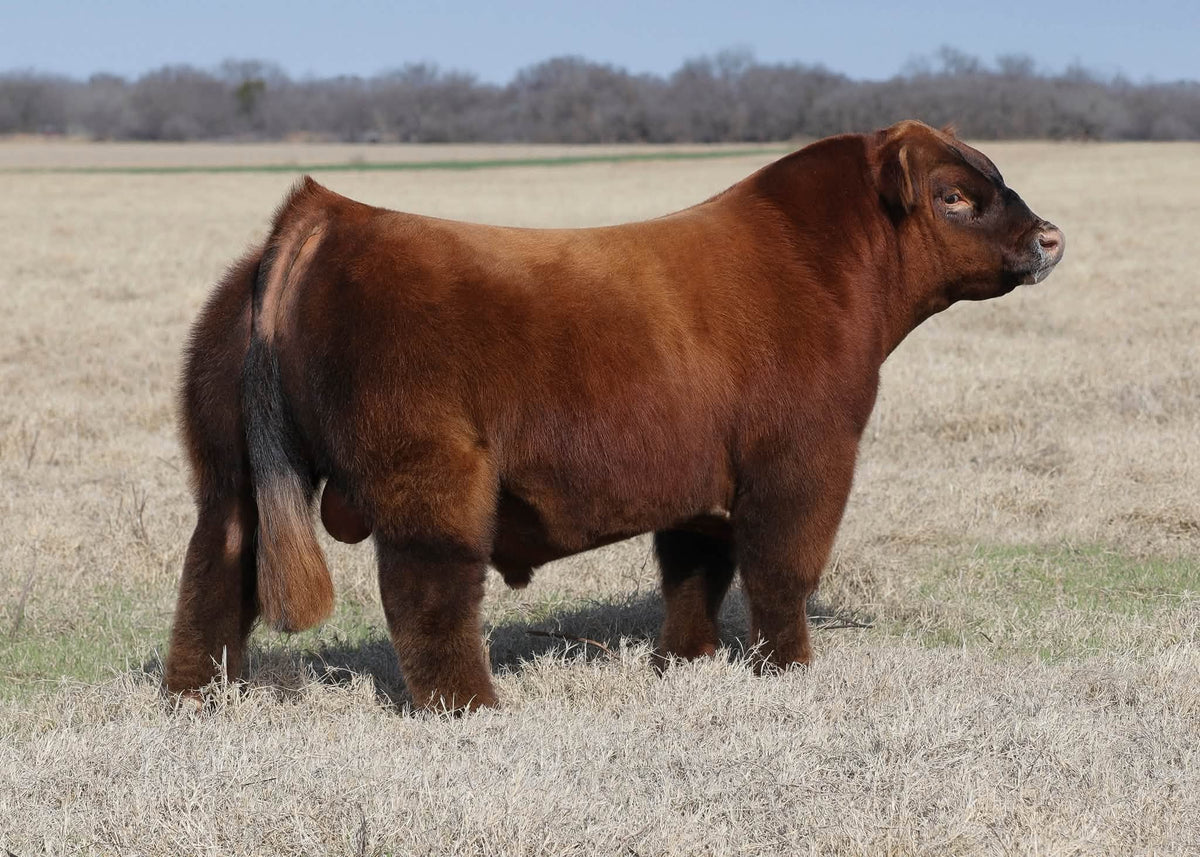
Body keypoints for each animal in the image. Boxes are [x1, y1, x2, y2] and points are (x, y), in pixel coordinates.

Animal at [165, 121, 1064, 711]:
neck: (818, 265)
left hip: (227, 472)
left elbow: (695, 572)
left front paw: (687, 662)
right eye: (955, 197)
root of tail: (327, 215)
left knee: (215, 571)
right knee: (427, 589)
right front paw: (790, 669)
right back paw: (472, 707)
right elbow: (782, 569)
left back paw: (199, 701)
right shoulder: (804, 460)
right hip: (431, 474)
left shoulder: (701, 480)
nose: (1049, 237)